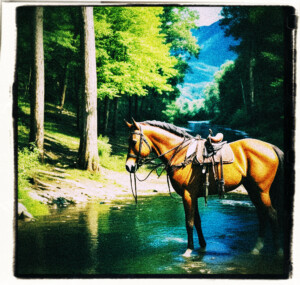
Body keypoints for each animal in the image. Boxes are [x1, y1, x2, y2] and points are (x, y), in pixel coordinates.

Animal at [124, 118, 284, 256]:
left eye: (133, 141)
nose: (128, 166)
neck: (181, 153)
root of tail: (270, 147)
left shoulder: (187, 195)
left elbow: (189, 222)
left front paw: (189, 249)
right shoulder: (193, 195)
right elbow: (197, 221)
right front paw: (202, 245)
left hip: (262, 191)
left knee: (272, 214)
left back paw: (278, 250)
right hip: (253, 190)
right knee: (262, 215)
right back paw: (256, 248)